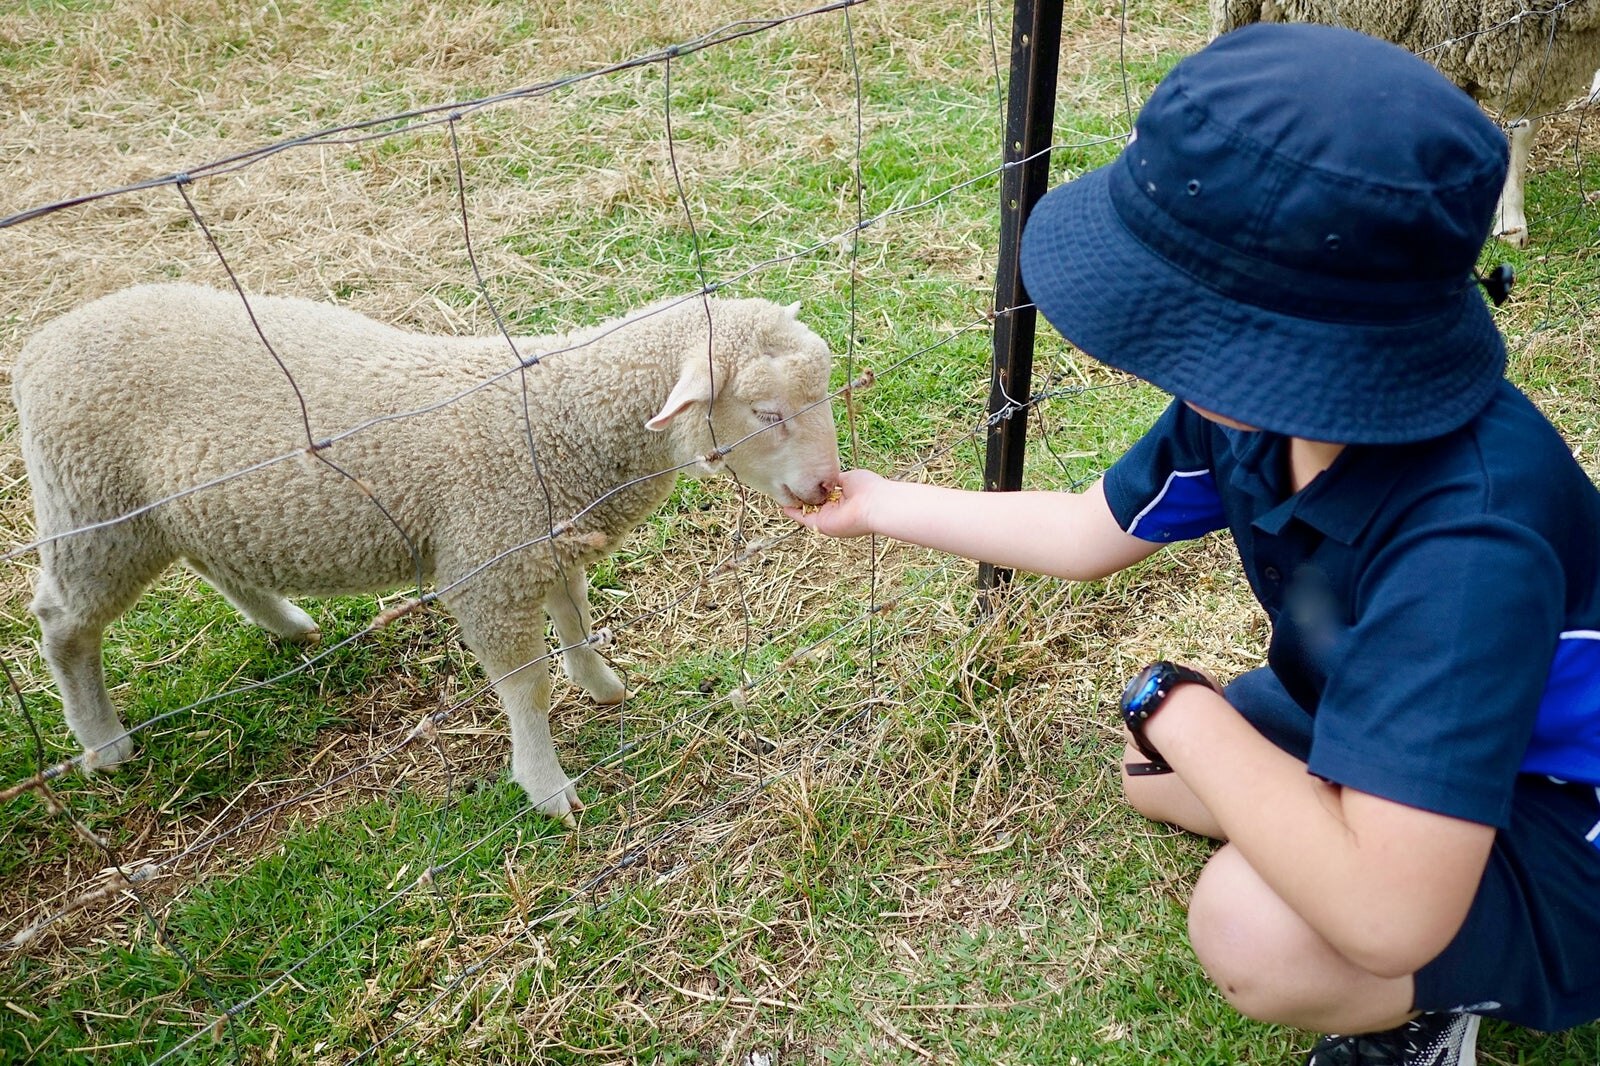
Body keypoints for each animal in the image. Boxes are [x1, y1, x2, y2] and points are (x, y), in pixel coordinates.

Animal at [12, 278, 844, 816]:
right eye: (765, 412)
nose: (827, 485)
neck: (563, 418)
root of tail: (40, 345)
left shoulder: (543, 541)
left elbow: (574, 617)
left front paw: (600, 683)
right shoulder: (488, 564)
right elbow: (525, 689)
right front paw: (544, 785)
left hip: (183, 509)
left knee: (216, 561)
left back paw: (288, 625)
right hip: (94, 510)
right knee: (64, 623)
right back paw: (103, 742)